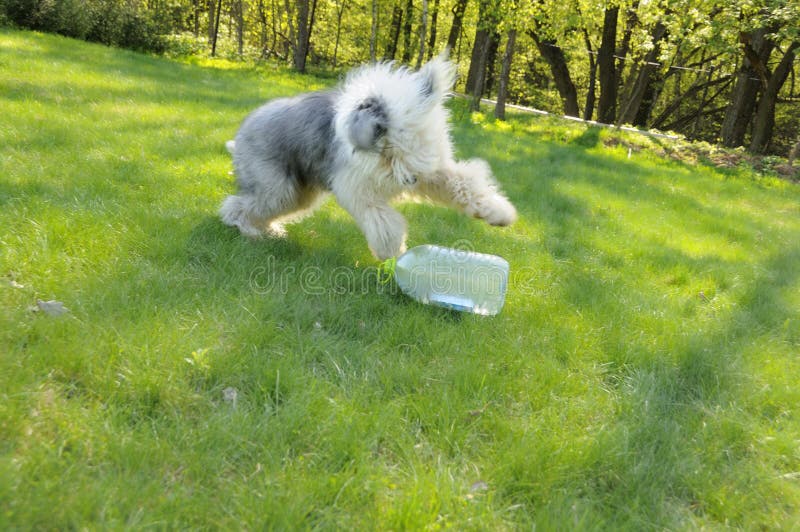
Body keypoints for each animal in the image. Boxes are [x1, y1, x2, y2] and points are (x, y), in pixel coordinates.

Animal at [220, 53, 520, 260]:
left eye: (416, 145)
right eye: (388, 151)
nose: (411, 181)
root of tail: (239, 137)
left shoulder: (432, 169)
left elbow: (465, 183)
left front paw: (499, 213)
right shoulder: (356, 188)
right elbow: (383, 221)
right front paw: (394, 253)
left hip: (299, 194)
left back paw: (269, 231)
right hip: (277, 187)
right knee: (237, 205)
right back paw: (248, 230)